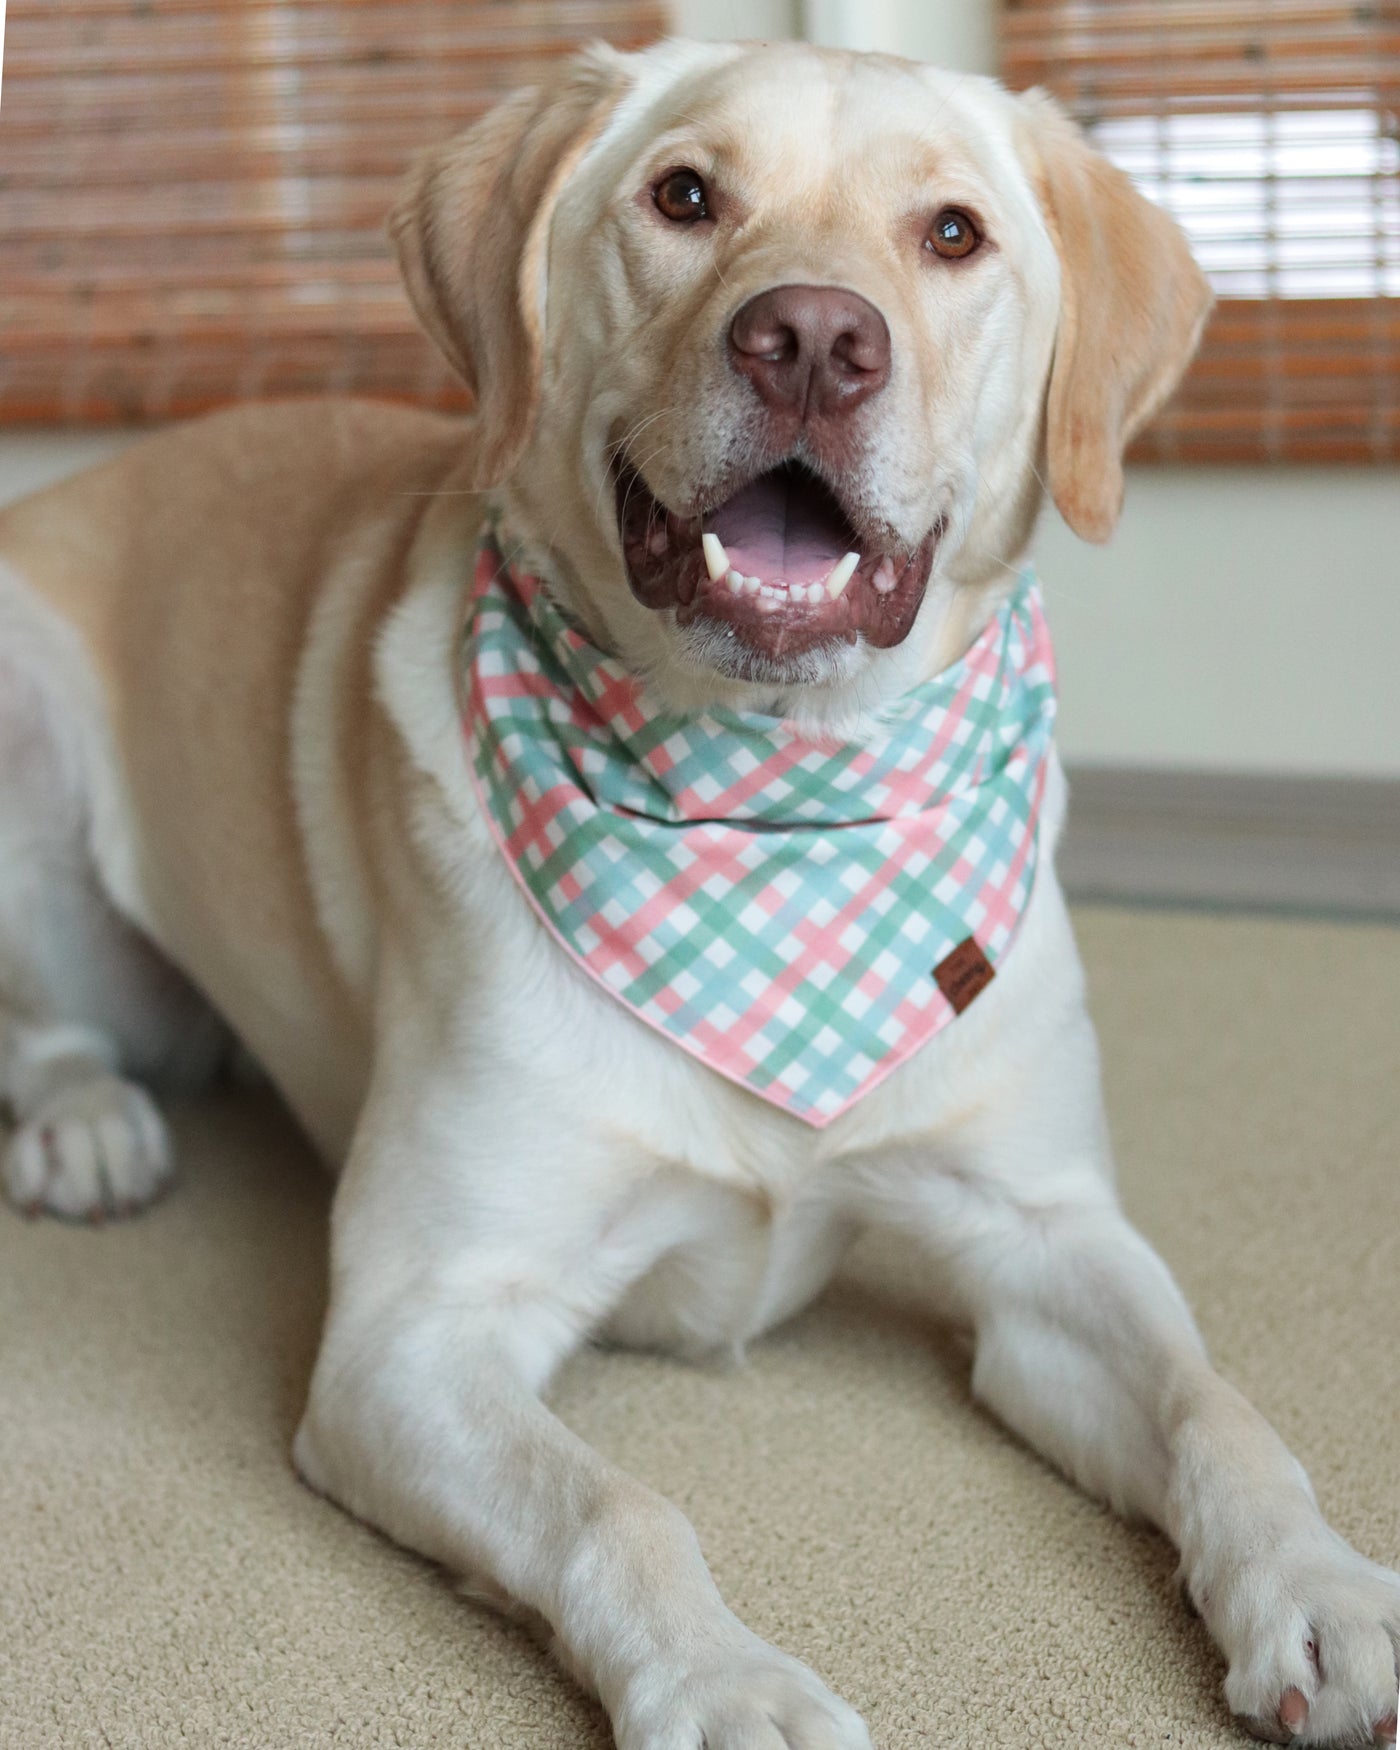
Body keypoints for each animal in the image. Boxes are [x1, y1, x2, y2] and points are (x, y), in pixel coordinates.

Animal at [2, 41, 1400, 1750]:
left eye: (952, 233)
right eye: (683, 197)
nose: (812, 341)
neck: (775, 807)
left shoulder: (1047, 1238)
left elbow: (1221, 1403)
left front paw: (1317, 1582)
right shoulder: (414, 1326)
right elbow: (622, 1509)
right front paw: (734, 1683)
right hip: (30, 743)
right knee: (48, 1025)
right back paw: (86, 1120)